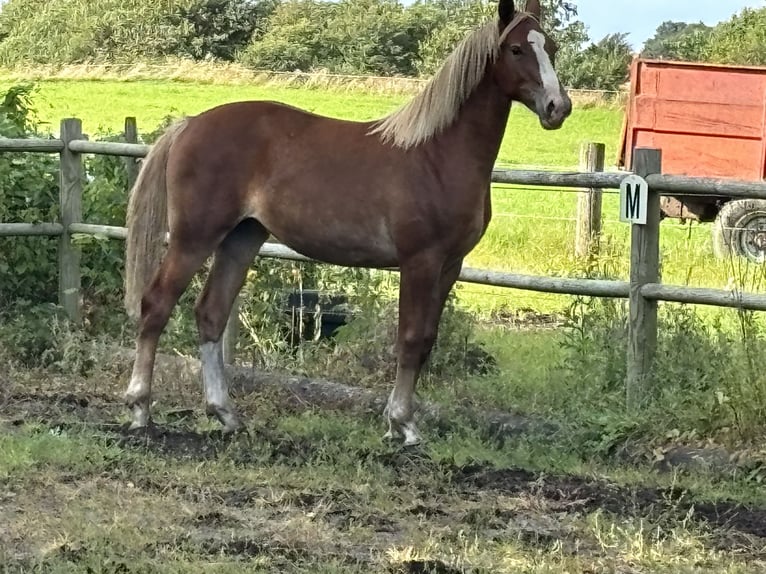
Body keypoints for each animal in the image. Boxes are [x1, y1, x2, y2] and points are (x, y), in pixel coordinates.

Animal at [123, 0, 572, 446]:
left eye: (551, 47)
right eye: (516, 49)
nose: (558, 107)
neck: (437, 156)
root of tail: (190, 124)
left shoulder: (449, 265)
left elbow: (427, 339)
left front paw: (401, 421)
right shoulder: (420, 262)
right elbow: (410, 339)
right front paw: (403, 425)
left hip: (241, 238)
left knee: (211, 313)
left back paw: (226, 414)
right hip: (193, 238)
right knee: (157, 305)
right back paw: (140, 409)